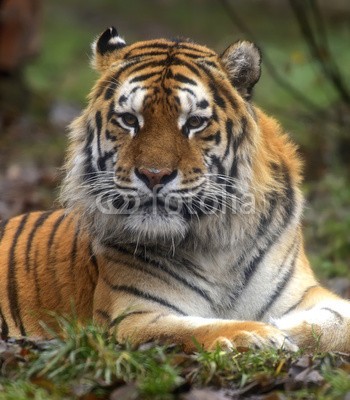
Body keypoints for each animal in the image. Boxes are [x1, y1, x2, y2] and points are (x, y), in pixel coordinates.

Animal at [0, 26, 350, 354]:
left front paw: (282, 328)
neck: (218, 248)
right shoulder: (132, 316)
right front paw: (258, 334)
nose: (154, 175)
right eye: (129, 120)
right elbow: (197, 327)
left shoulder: (305, 293)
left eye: (194, 122)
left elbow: (338, 322)